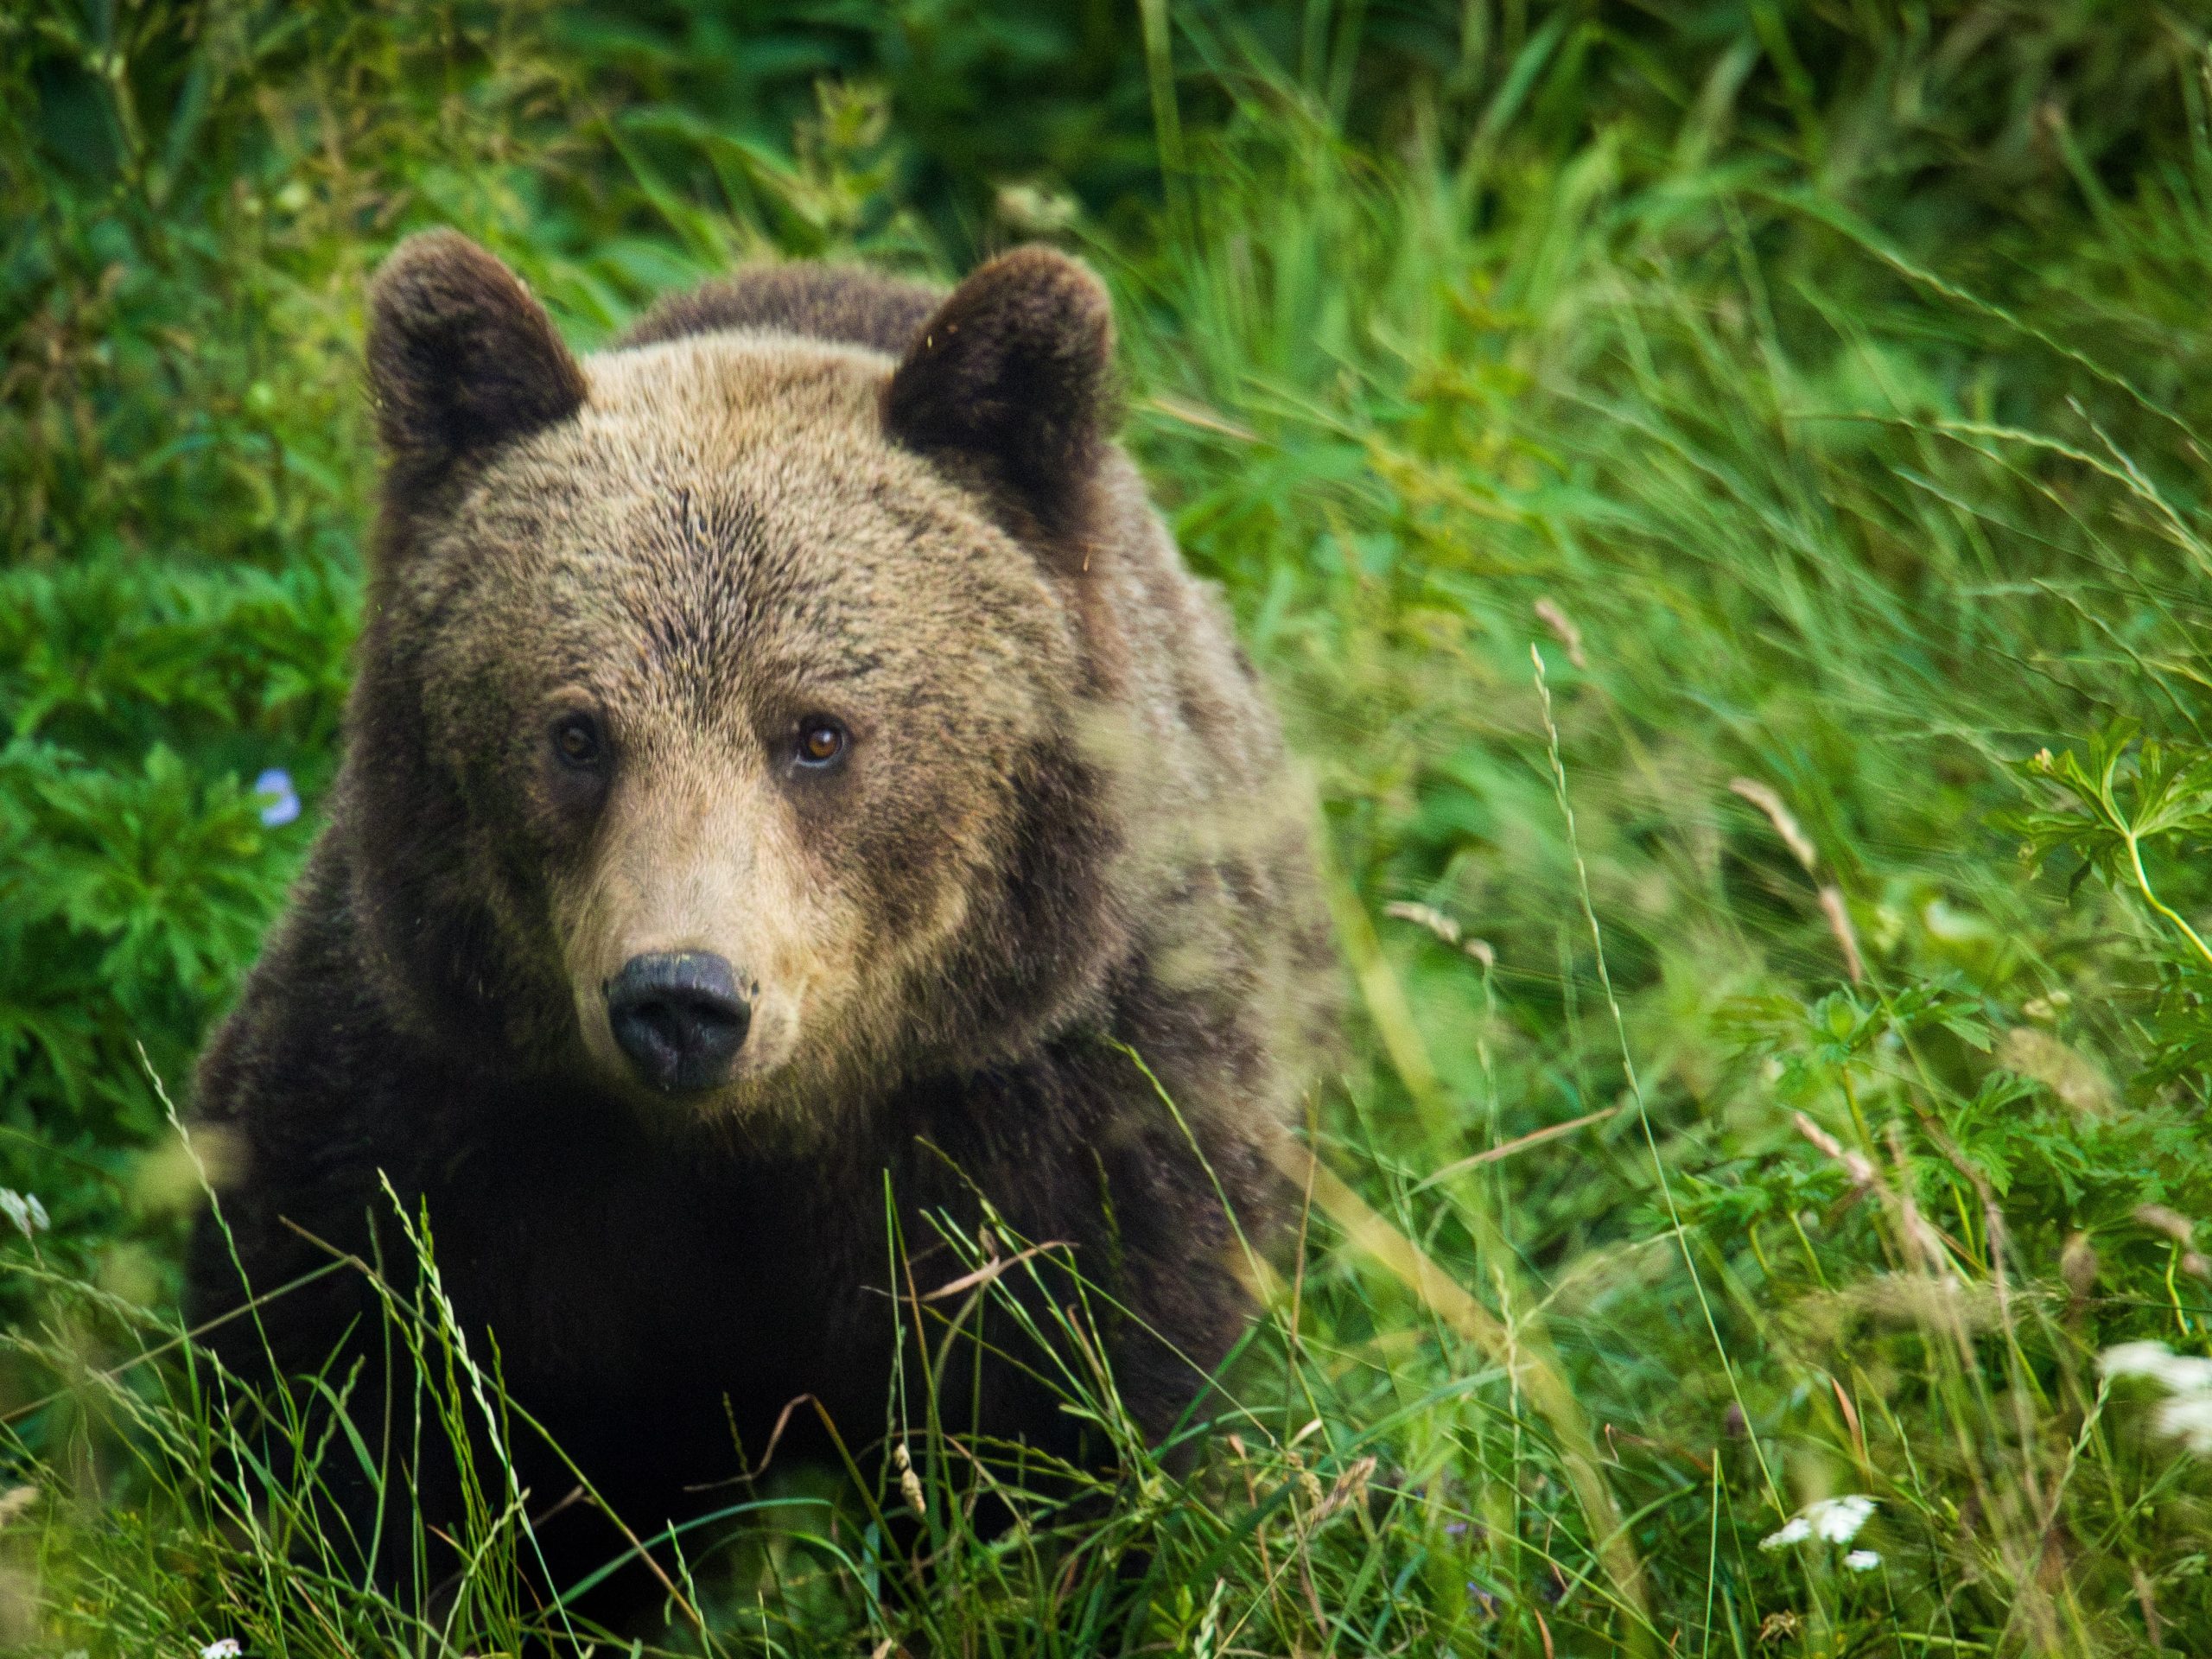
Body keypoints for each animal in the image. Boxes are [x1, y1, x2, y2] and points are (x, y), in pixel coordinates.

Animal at [186, 227, 1327, 1628]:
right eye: (576, 732)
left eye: (819, 733)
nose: (682, 996)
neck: (749, 1147)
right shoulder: (443, 1124)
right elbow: (367, 1424)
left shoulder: (1052, 1135)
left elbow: (1068, 1442)